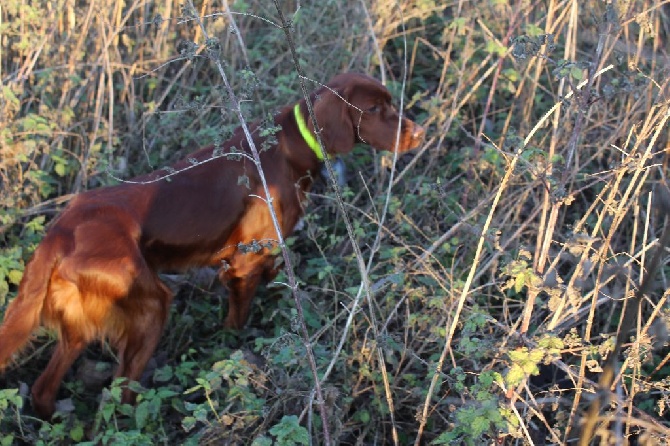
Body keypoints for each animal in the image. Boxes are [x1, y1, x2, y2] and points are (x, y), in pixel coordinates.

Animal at [0, 73, 426, 418]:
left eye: (390, 103)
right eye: (374, 108)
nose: (420, 134)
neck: (287, 147)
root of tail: (60, 233)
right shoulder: (245, 263)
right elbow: (237, 320)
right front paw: (236, 349)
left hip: (80, 320)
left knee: (43, 390)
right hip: (150, 305)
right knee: (121, 397)